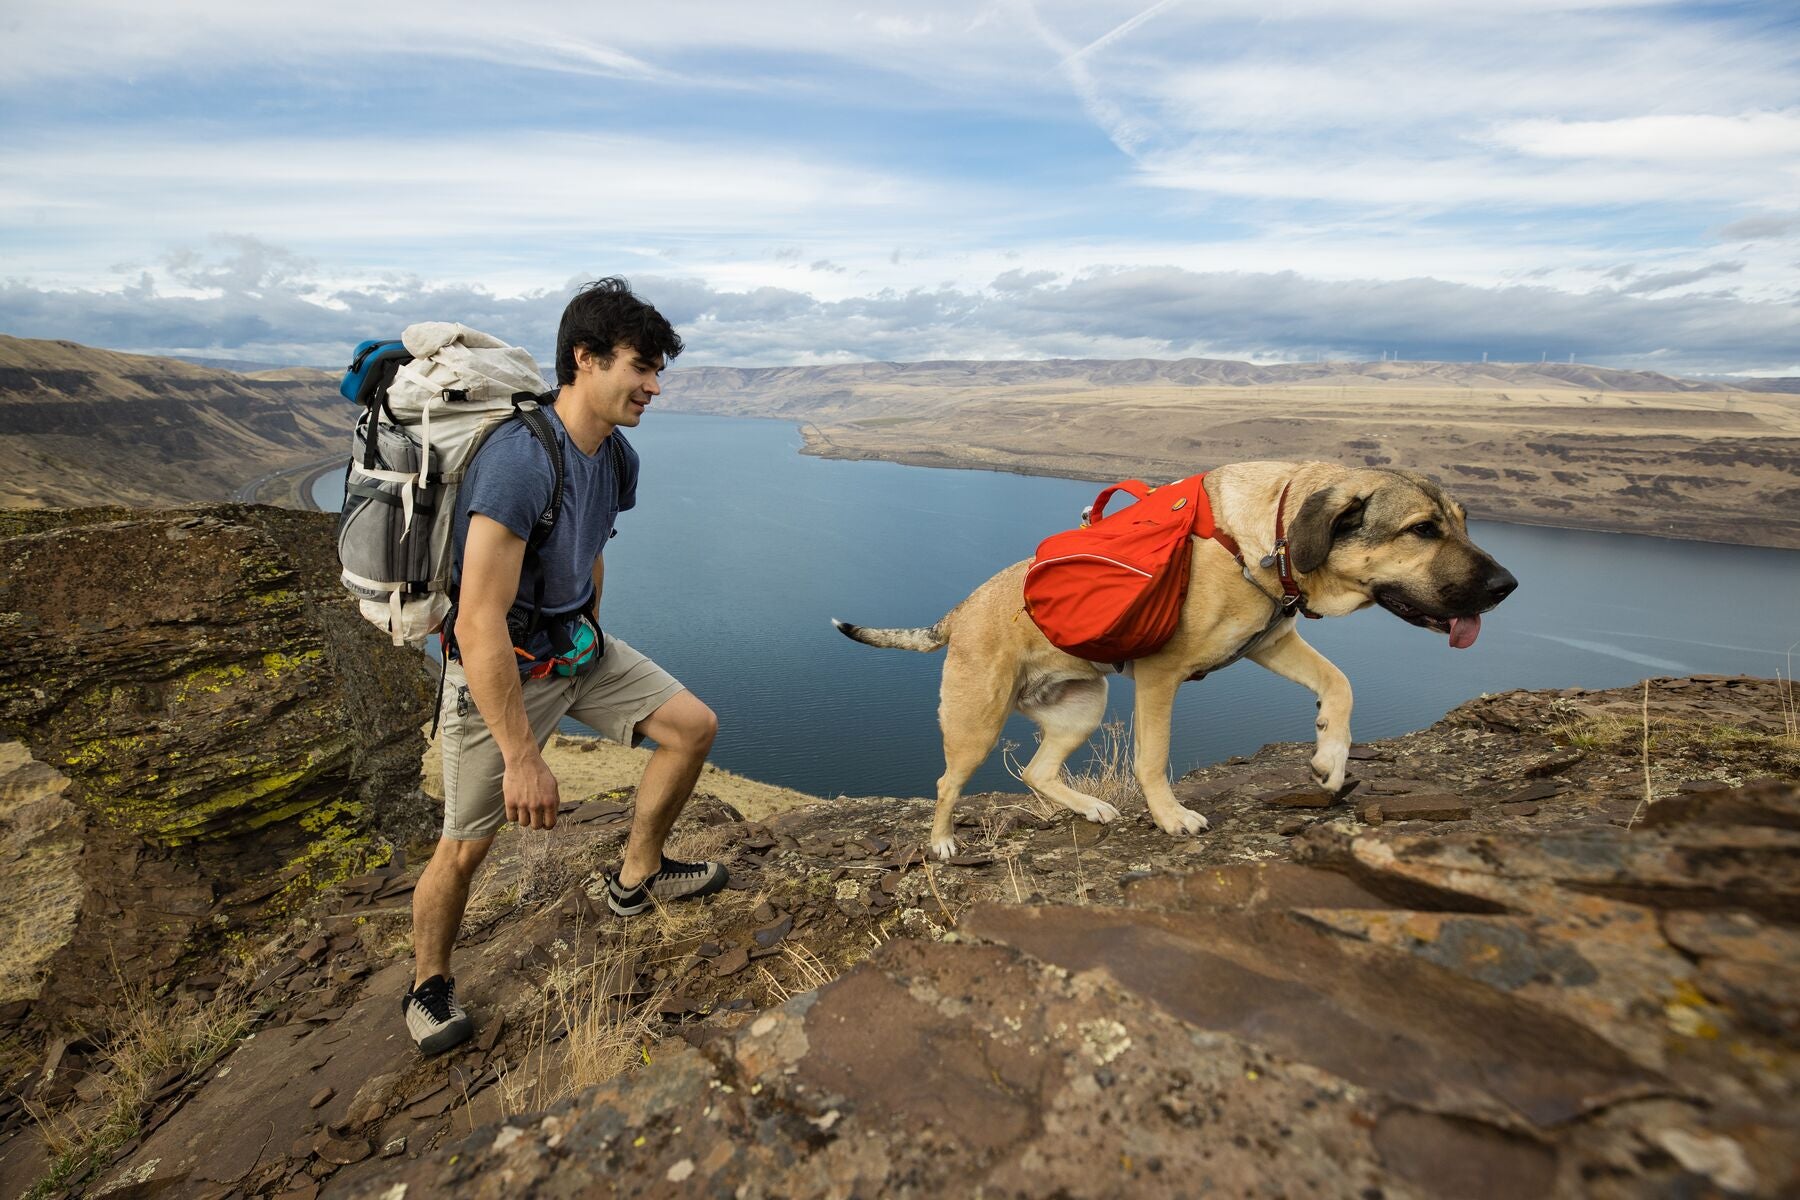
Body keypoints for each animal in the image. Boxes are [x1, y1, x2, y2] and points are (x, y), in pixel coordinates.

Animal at [835, 464, 1512, 863]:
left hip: (1082, 706)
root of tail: (957, 614)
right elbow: (1153, 758)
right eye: (1421, 529)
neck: (1262, 538)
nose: (1507, 586)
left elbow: (1340, 684)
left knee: (1037, 770)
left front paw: (1330, 756)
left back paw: (1088, 808)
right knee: (948, 782)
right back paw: (943, 841)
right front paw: (1170, 817)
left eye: (1463, 522)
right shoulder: (1162, 677)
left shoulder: (1271, 642)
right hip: (977, 721)